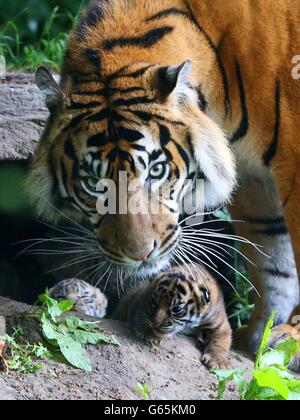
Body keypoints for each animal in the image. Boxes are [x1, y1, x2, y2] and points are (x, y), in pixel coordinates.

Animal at [28, 0, 300, 360]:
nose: (140, 255)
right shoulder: (254, 176)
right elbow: (274, 261)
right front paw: (261, 332)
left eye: (155, 171)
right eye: (93, 182)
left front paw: (291, 339)